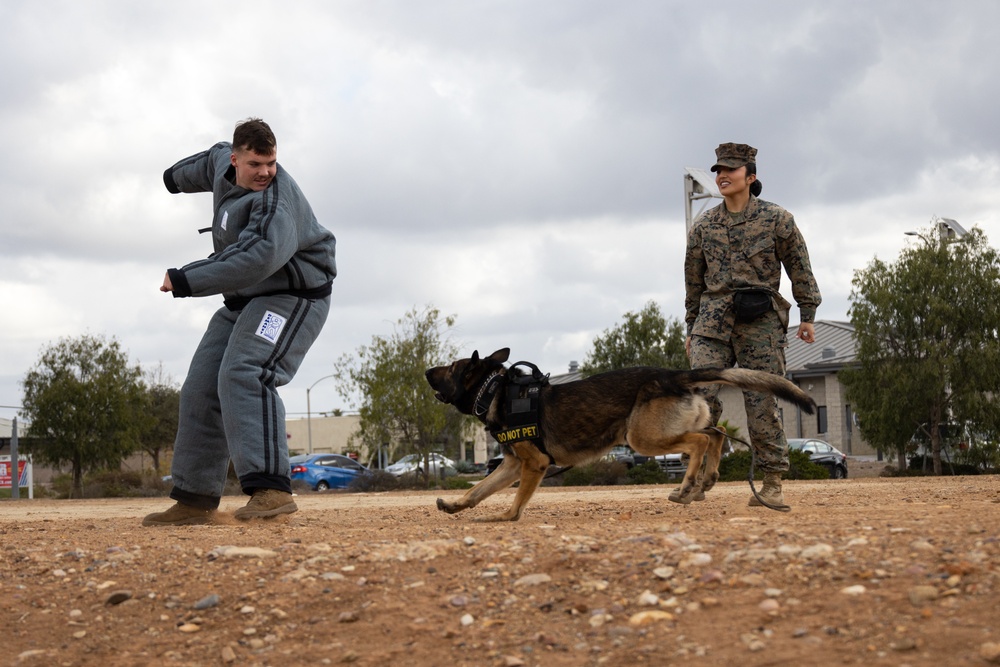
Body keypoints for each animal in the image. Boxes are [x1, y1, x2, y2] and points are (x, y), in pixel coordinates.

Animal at [426, 350, 816, 520]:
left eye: (451, 367)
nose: (427, 370)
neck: (496, 391)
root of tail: (672, 375)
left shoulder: (533, 464)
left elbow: (516, 502)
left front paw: (506, 516)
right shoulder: (510, 466)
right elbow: (478, 490)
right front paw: (456, 505)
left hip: (643, 438)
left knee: (702, 441)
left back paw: (688, 486)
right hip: (673, 426)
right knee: (717, 434)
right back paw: (706, 480)